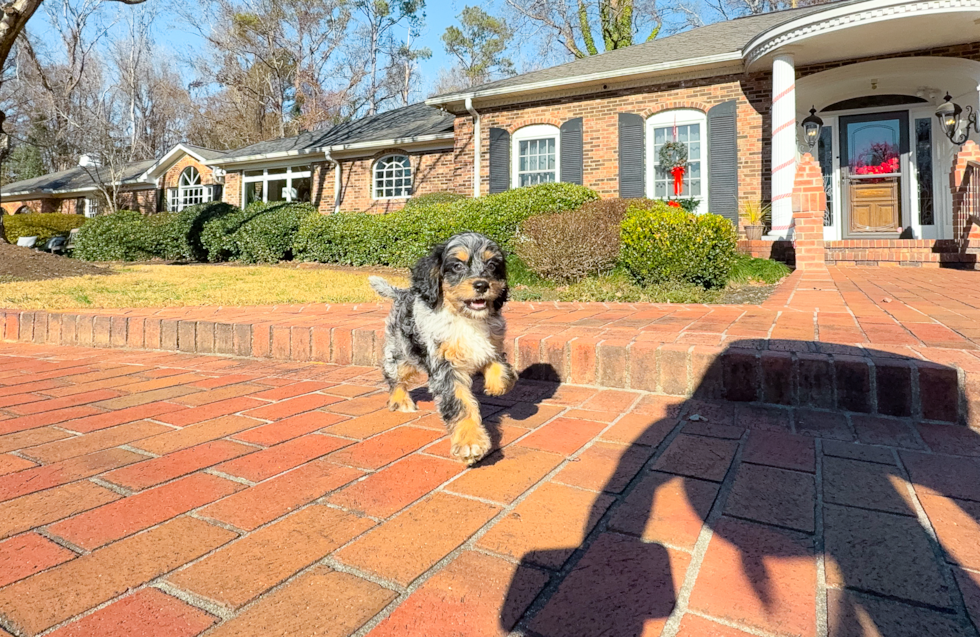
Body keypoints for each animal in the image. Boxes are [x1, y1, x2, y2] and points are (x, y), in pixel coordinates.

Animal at [370, 231, 520, 464]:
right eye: (457, 266)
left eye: (492, 265)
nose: (482, 285)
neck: (466, 318)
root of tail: (403, 293)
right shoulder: (445, 366)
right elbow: (460, 403)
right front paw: (470, 443)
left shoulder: (492, 342)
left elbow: (500, 365)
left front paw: (497, 385)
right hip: (403, 351)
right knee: (393, 375)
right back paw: (400, 400)